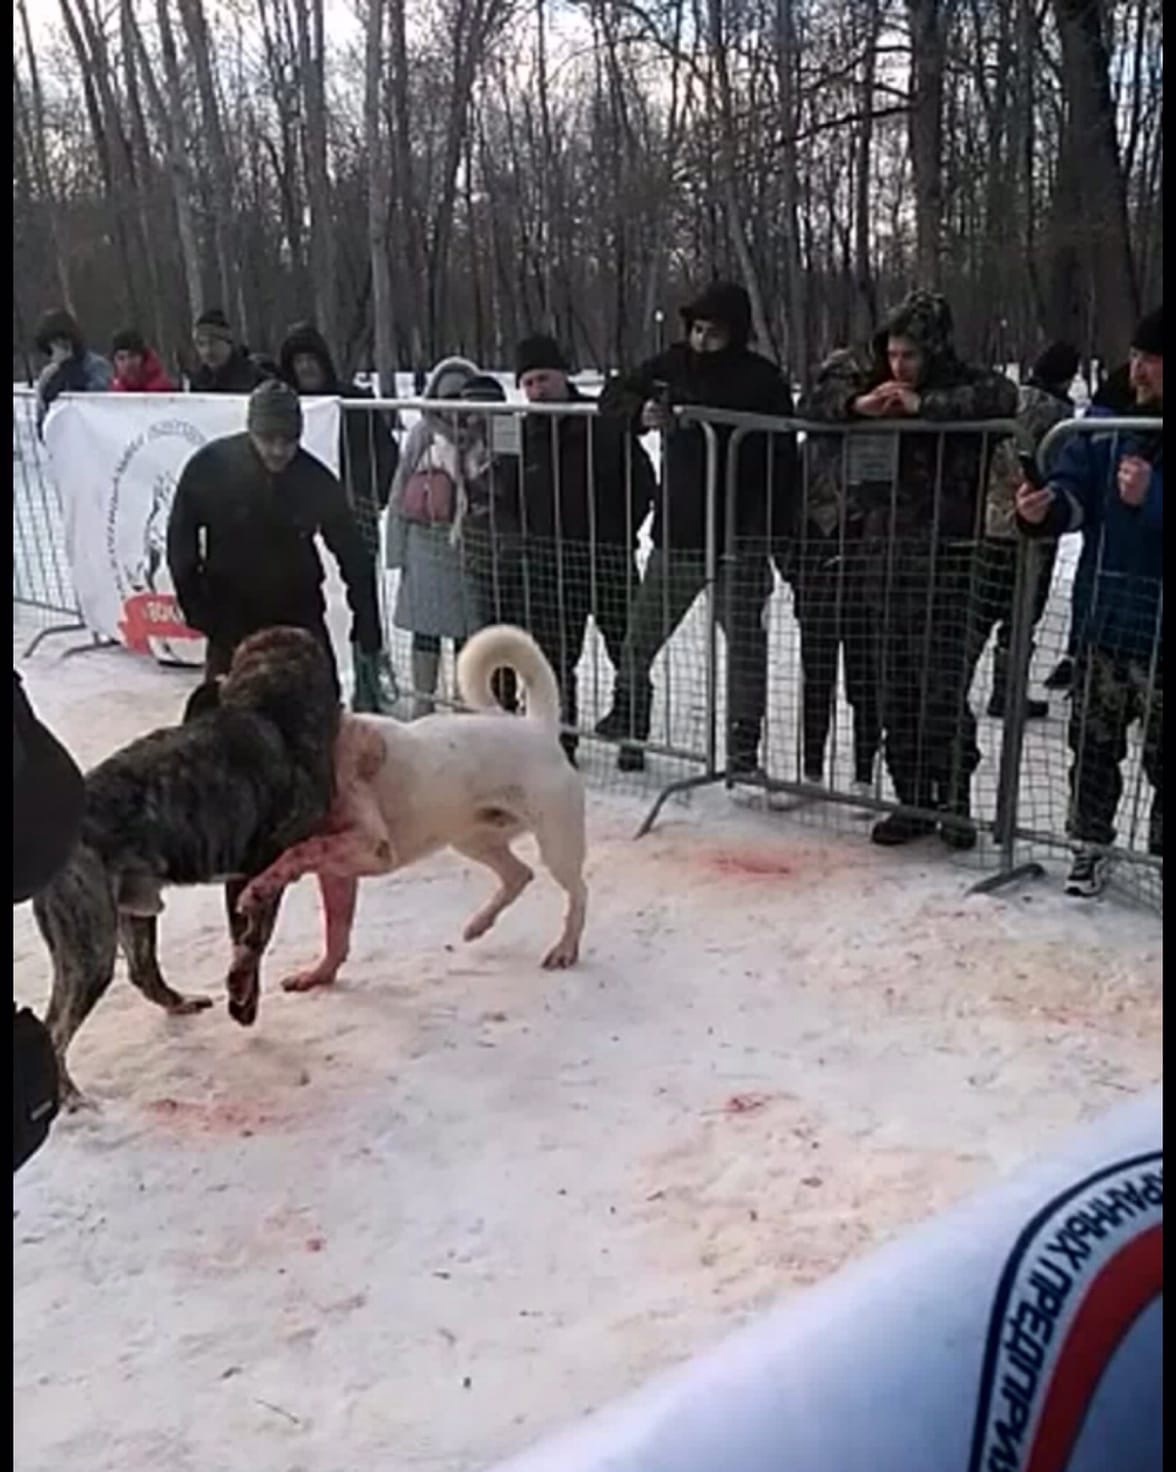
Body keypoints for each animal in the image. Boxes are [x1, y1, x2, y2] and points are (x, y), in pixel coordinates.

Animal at [236, 624, 588, 989]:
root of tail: (539, 727)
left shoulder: (372, 848)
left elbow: (300, 851)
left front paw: (258, 887)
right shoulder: (337, 873)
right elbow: (336, 933)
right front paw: (319, 974)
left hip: (557, 844)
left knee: (579, 893)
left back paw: (564, 949)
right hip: (471, 839)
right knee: (520, 874)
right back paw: (478, 924)